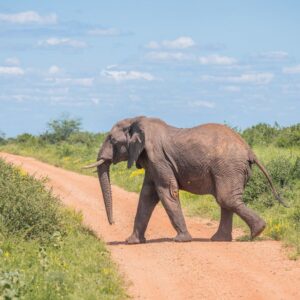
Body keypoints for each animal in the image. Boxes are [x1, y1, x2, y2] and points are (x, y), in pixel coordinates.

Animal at [83, 116, 288, 244]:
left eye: (112, 140)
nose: (112, 223)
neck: (137, 121)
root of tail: (249, 150)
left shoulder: (158, 158)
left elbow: (166, 191)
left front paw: (181, 240)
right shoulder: (152, 161)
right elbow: (147, 195)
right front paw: (132, 242)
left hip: (228, 167)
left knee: (226, 199)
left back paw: (256, 232)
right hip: (230, 169)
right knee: (226, 200)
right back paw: (222, 239)